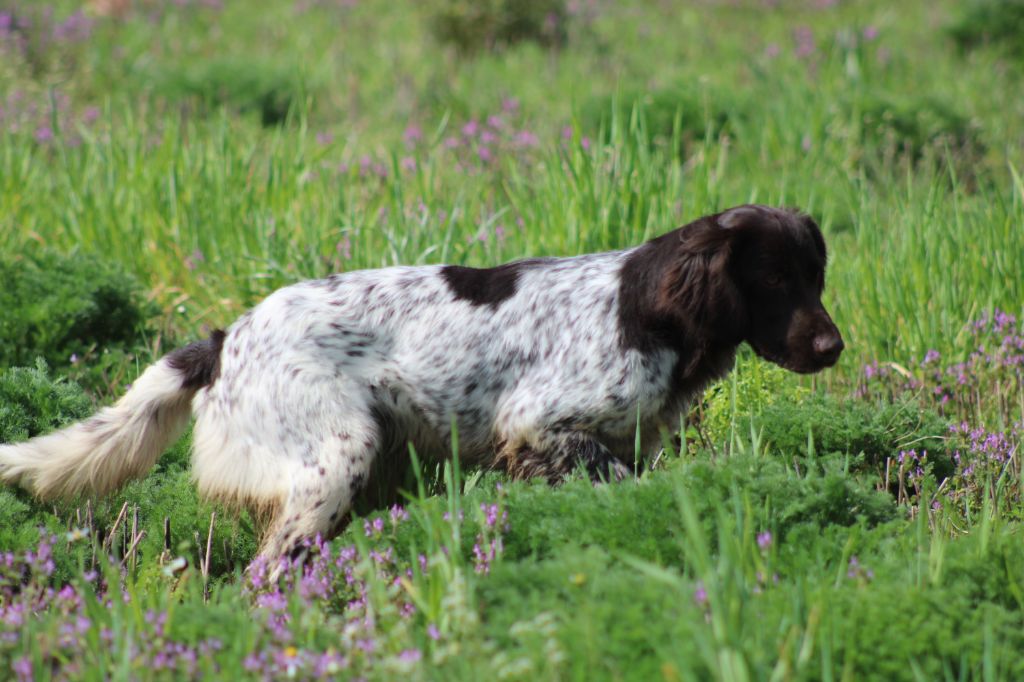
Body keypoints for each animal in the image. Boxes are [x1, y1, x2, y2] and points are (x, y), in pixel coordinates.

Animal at [0, 204, 843, 563]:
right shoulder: (539, 424)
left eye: (818, 276)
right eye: (776, 279)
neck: (649, 313)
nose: (833, 347)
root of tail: (225, 340)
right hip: (338, 454)